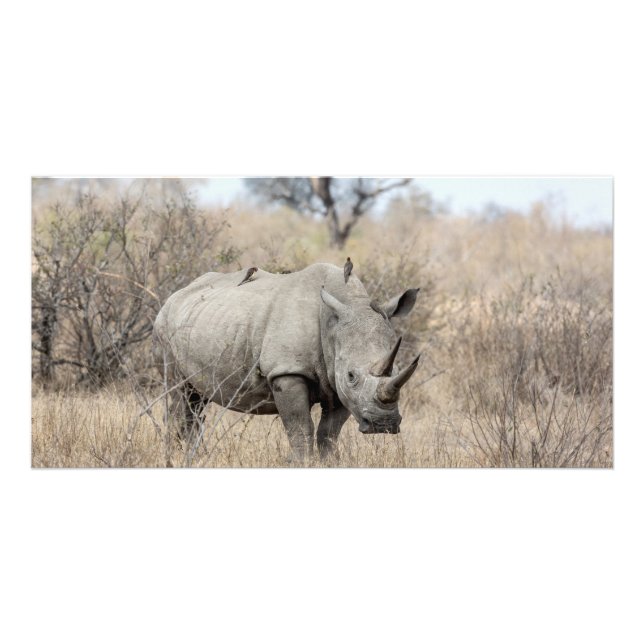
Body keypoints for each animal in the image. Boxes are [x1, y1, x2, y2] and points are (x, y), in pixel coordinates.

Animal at [152, 263, 420, 462]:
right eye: (352, 375)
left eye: (398, 369)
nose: (382, 424)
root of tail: (176, 294)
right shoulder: (287, 372)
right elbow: (300, 429)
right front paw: (304, 463)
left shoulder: (337, 383)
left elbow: (328, 434)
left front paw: (329, 463)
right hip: (164, 328)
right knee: (180, 395)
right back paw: (176, 459)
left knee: (196, 401)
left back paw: (191, 458)